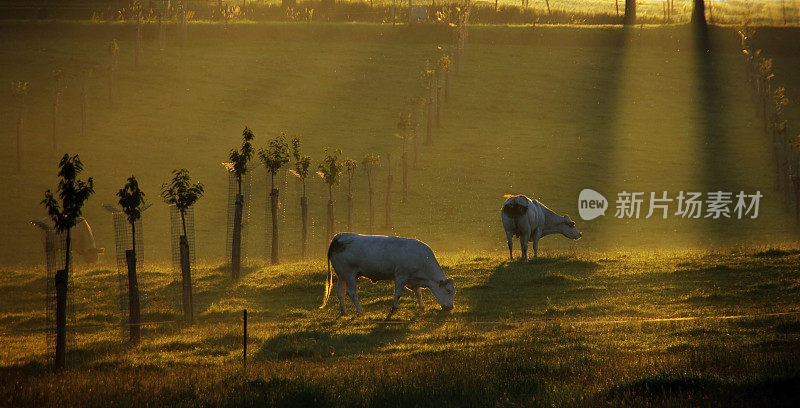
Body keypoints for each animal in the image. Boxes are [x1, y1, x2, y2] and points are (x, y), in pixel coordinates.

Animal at [320, 233, 456, 318]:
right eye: (448, 291)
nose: (450, 307)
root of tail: (338, 237)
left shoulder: (413, 279)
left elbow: (418, 293)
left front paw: (422, 307)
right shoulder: (401, 276)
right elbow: (398, 293)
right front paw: (394, 308)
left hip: (341, 275)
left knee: (340, 292)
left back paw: (344, 311)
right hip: (349, 275)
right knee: (351, 292)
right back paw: (360, 310)